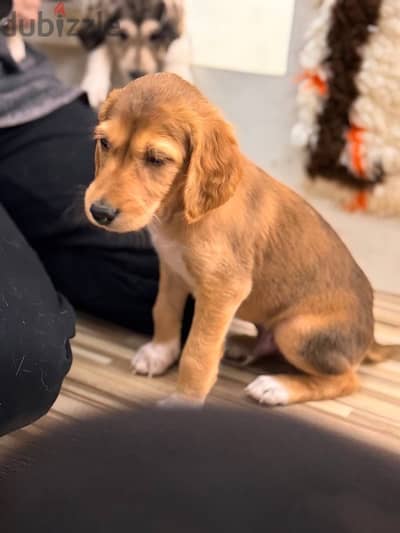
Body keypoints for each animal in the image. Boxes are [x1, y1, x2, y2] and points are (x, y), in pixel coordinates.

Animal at [84, 72, 396, 406]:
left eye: (156, 159)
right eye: (104, 143)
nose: (99, 212)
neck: (179, 212)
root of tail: (371, 338)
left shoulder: (223, 290)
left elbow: (198, 353)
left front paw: (184, 401)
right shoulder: (171, 268)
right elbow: (164, 311)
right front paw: (159, 353)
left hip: (296, 330)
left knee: (347, 380)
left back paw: (276, 387)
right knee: (266, 343)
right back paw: (242, 345)